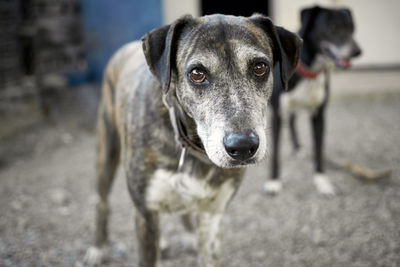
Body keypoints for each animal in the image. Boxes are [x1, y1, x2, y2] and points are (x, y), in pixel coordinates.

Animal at [84, 14, 302, 267]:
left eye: (260, 67)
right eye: (197, 73)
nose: (243, 147)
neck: (191, 147)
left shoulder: (212, 216)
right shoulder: (146, 214)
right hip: (106, 152)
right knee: (102, 203)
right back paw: (98, 248)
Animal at [264, 5, 360, 196]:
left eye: (352, 28)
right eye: (333, 27)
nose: (357, 52)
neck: (310, 72)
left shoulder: (319, 115)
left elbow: (318, 150)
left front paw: (321, 181)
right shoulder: (277, 114)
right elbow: (276, 154)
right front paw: (274, 181)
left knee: (292, 121)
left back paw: (298, 148)